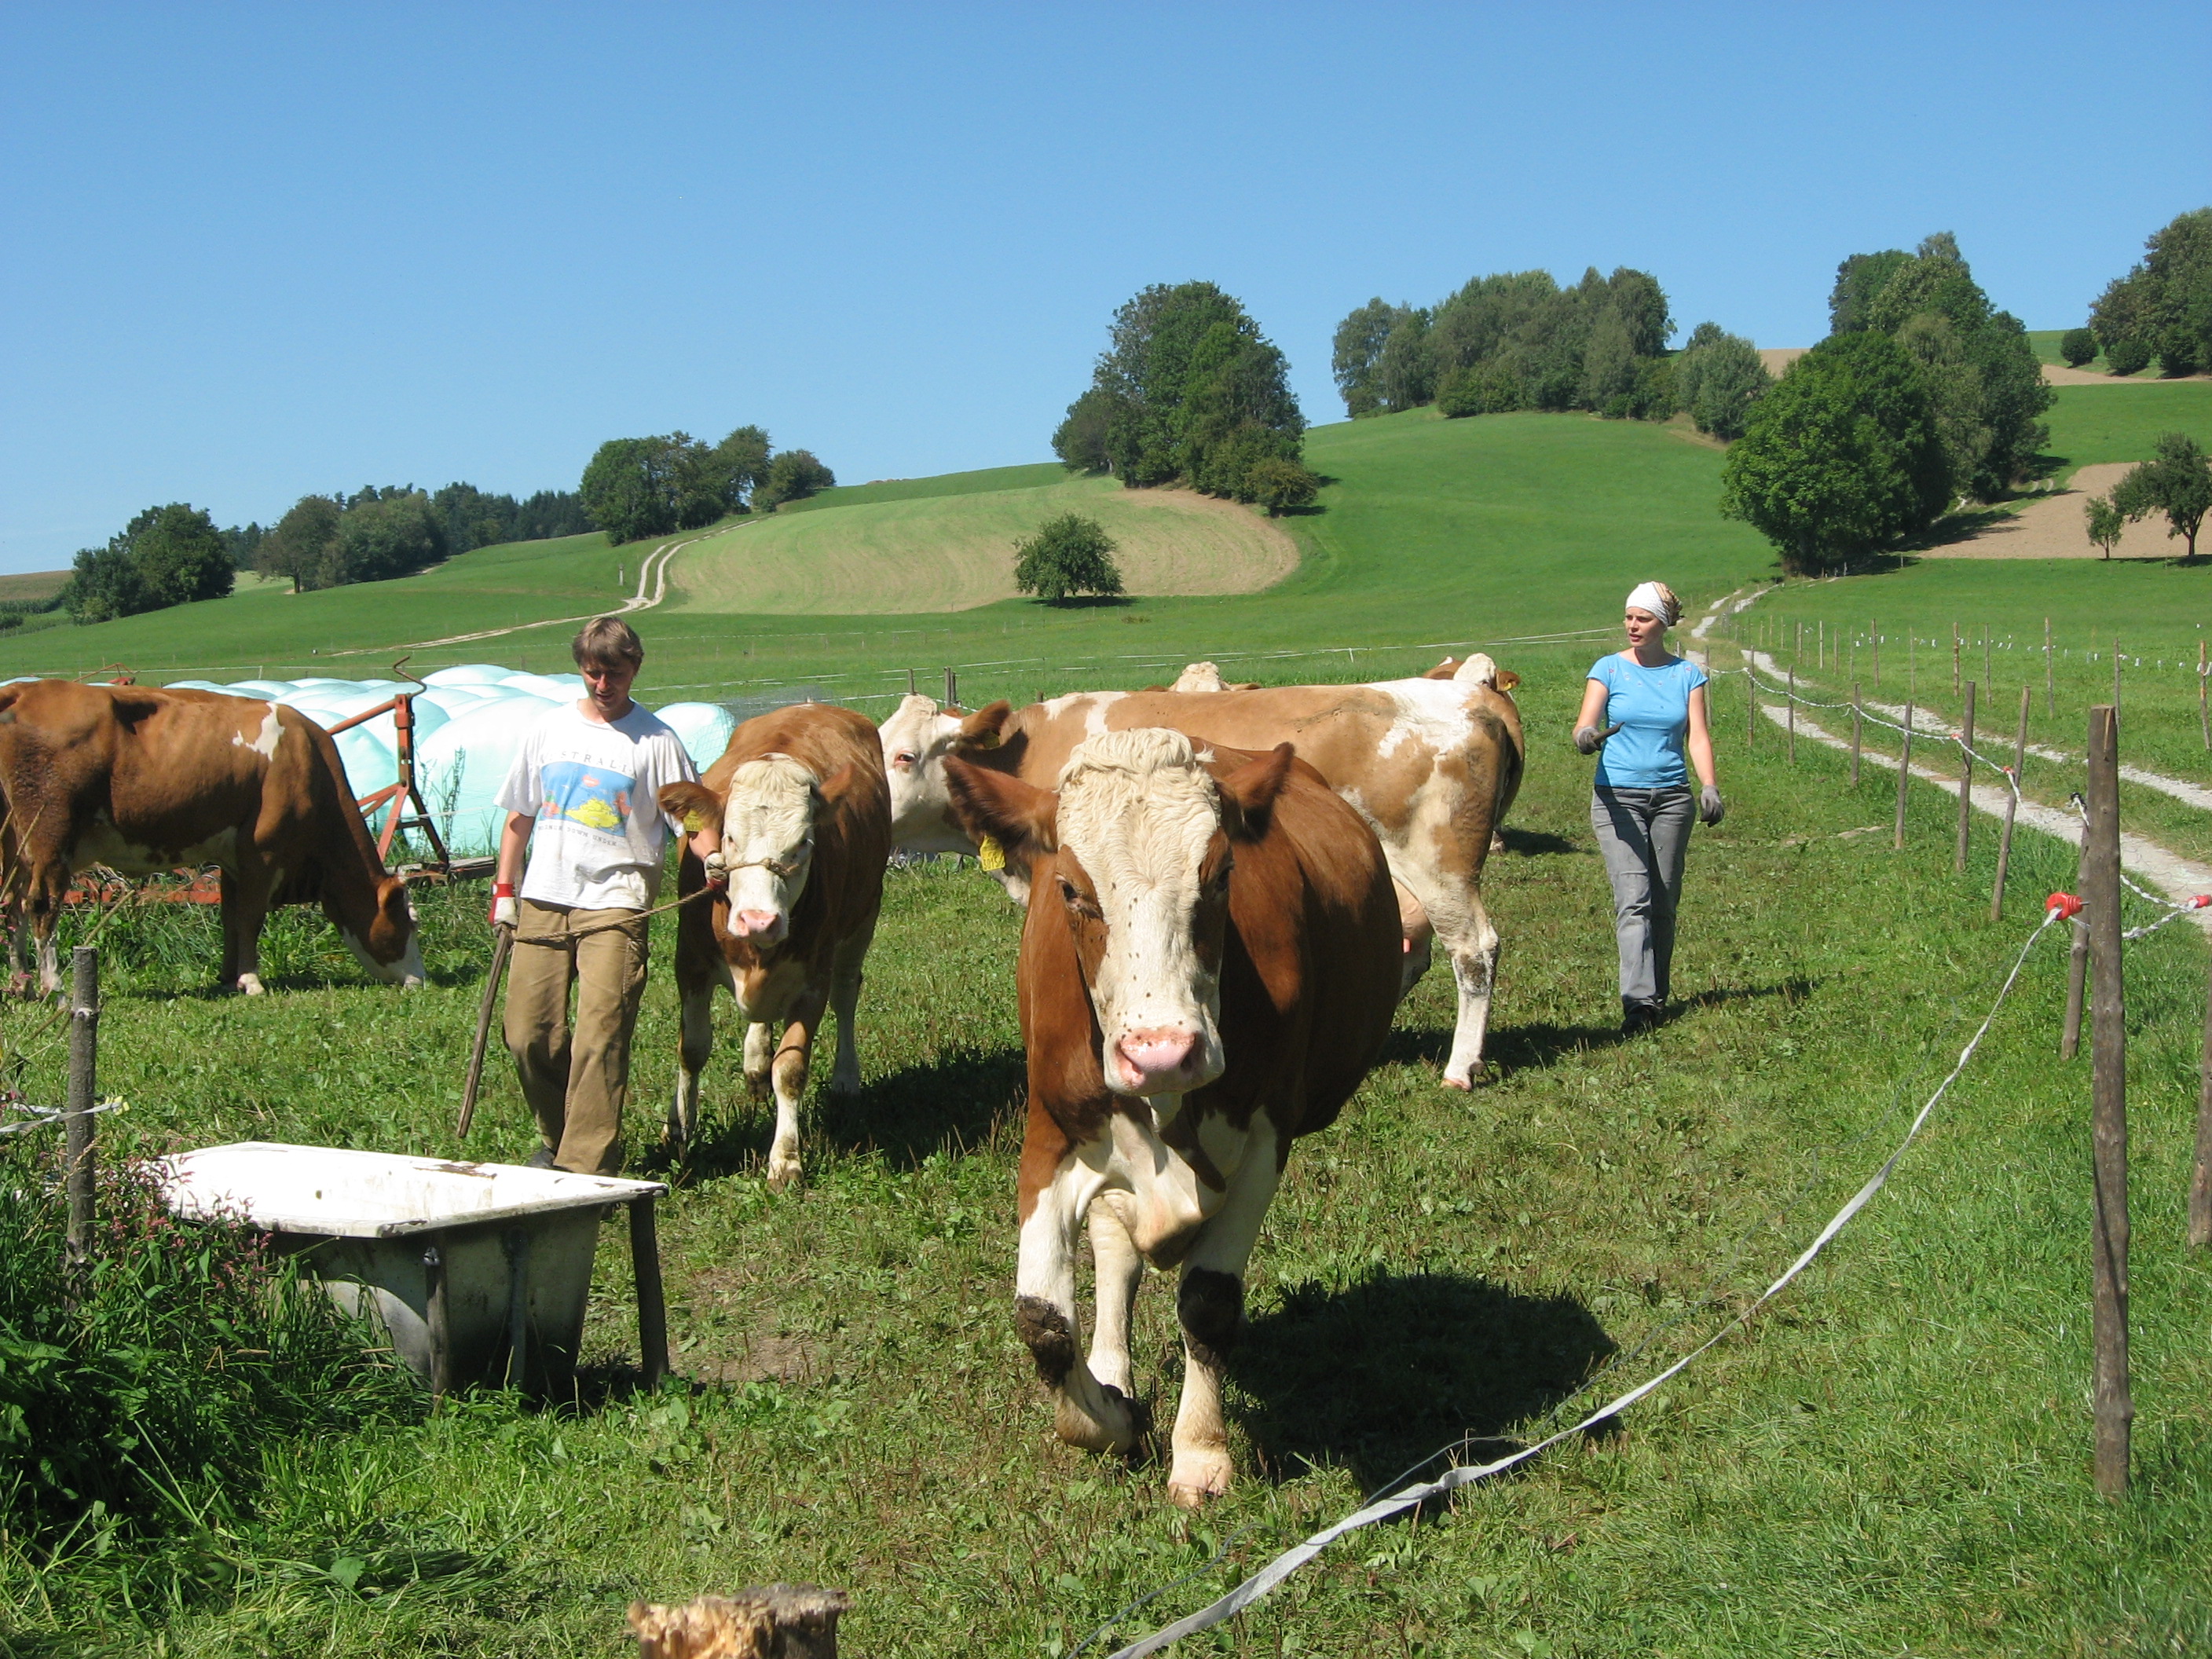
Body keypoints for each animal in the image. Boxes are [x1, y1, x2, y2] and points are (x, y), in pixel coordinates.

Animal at [0, 676, 422, 995]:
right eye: (409, 921)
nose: (420, 979)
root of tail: (23, 689)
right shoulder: (262, 852)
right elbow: (250, 917)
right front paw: (251, 982)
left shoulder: (233, 859)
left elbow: (230, 917)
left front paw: (228, 977)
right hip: (50, 836)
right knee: (41, 903)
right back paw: (53, 986)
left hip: (15, 847)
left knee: (12, 904)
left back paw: (22, 984)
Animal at [654, 703, 889, 1194]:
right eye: (728, 837)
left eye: (803, 843)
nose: (758, 921)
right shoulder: (690, 962)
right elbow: (692, 1048)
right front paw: (678, 1128)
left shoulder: (813, 979)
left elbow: (792, 1067)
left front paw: (785, 1159)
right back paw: (755, 1060)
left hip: (864, 917)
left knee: (846, 994)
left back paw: (845, 1079)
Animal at [937, 734, 1389, 1513]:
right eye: (1070, 890)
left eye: (1222, 874)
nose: (1161, 1051)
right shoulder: (1048, 1138)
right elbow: (1042, 1318)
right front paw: (1111, 1417)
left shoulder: (1267, 1140)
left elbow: (1208, 1302)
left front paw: (1200, 1453)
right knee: (1114, 1249)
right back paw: (1110, 1368)